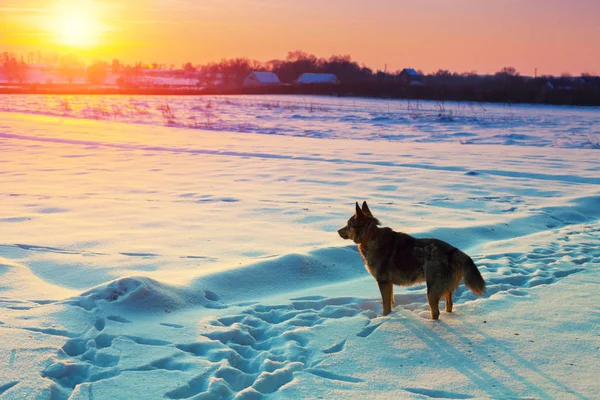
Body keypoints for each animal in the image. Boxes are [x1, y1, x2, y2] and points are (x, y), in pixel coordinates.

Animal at [336, 202, 486, 320]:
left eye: (348, 225)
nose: (337, 231)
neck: (370, 236)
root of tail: (453, 250)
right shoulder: (389, 284)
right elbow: (390, 302)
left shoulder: (383, 282)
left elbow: (386, 307)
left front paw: (385, 319)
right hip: (445, 290)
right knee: (449, 305)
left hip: (431, 291)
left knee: (436, 312)